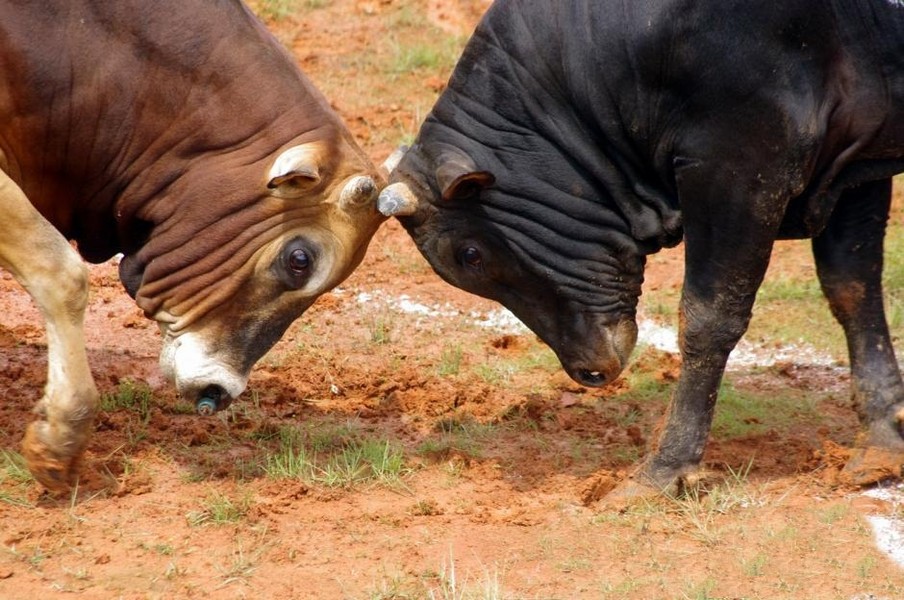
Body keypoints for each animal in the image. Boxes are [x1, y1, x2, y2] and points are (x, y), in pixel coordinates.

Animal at [380, 0, 904, 496]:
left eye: (470, 255)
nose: (589, 372)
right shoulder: (854, 161)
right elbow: (852, 288)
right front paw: (882, 441)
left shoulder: (742, 167)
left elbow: (709, 318)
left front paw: (665, 471)